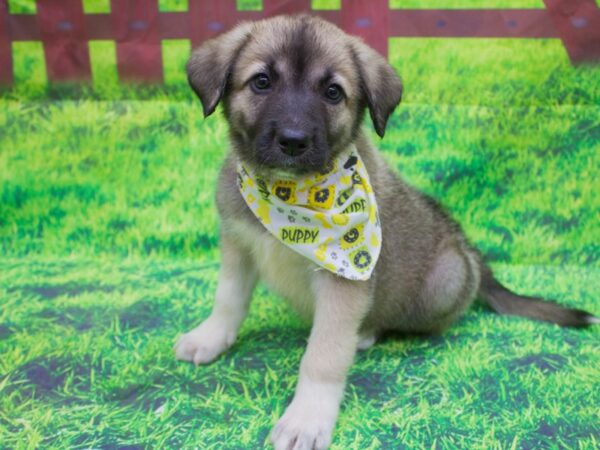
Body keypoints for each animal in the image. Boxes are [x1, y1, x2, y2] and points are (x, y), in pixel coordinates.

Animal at [172, 14, 596, 450]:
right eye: (261, 81)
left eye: (332, 92)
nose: (293, 140)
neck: (288, 194)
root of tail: (470, 255)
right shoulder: (238, 245)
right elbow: (227, 301)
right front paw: (210, 338)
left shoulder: (344, 282)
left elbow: (323, 355)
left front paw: (307, 418)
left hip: (444, 282)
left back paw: (365, 333)